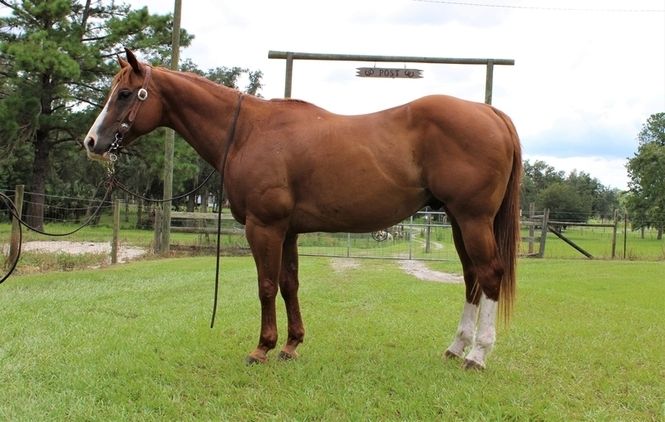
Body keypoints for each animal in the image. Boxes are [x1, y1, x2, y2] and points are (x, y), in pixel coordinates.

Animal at [84, 49, 522, 370]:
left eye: (125, 94)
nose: (91, 141)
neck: (248, 132)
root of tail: (490, 112)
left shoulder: (264, 227)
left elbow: (265, 285)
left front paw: (262, 347)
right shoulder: (288, 230)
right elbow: (289, 284)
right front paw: (291, 345)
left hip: (473, 219)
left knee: (489, 274)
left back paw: (477, 355)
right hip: (458, 220)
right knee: (472, 278)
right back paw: (456, 347)